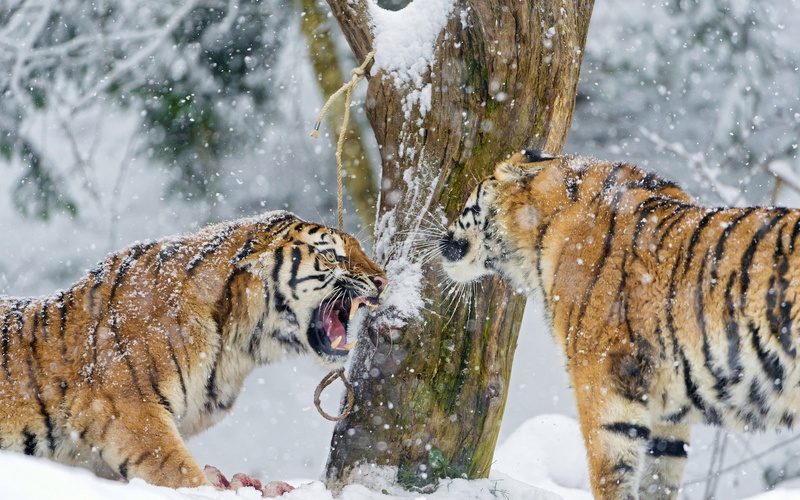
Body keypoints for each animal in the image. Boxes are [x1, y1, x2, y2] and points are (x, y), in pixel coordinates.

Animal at [439, 150, 800, 500]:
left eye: (468, 201)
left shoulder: (601, 382)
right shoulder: (668, 412)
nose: (443, 235)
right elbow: (660, 478)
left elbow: (610, 476)